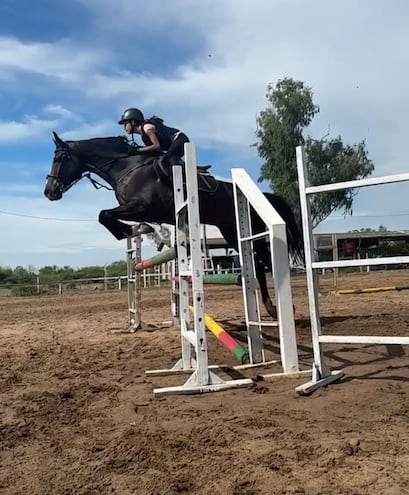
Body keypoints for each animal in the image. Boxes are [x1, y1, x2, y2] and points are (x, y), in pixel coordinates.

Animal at [43, 132, 302, 318]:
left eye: (59, 158)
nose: (49, 192)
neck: (125, 167)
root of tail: (263, 195)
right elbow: (104, 215)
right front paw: (134, 230)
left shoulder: (143, 207)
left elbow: (103, 214)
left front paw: (134, 229)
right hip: (231, 232)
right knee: (257, 265)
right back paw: (271, 308)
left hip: (251, 231)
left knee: (266, 262)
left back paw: (282, 308)